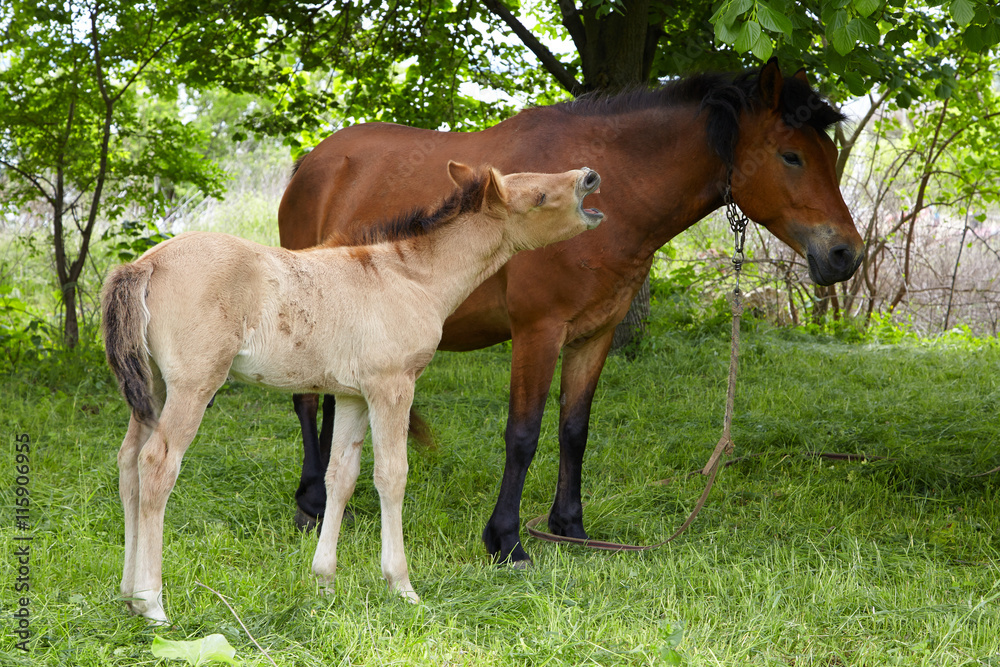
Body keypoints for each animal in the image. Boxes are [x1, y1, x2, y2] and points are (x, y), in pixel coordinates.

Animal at [101, 162, 605, 624]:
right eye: (539, 196)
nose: (589, 176)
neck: (412, 278)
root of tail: (146, 263)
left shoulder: (352, 396)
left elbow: (339, 477)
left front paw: (324, 583)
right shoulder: (391, 386)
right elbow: (392, 475)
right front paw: (402, 586)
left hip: (155, 385)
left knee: (128, 461)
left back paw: (127, 596)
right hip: (194, 384)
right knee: (157, 464)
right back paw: (152, 603)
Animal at [279, 59, 865, 565]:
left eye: (826, 154)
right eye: (791, 156)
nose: (846, 255)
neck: (613, 200)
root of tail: (312, 161)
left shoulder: (594, 335)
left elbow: (574, 430)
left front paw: (570, 527)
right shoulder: (538, 332)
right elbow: (523, 435)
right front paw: (507, 542)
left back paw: (330, 500)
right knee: (306, 402)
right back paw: (310, 504)